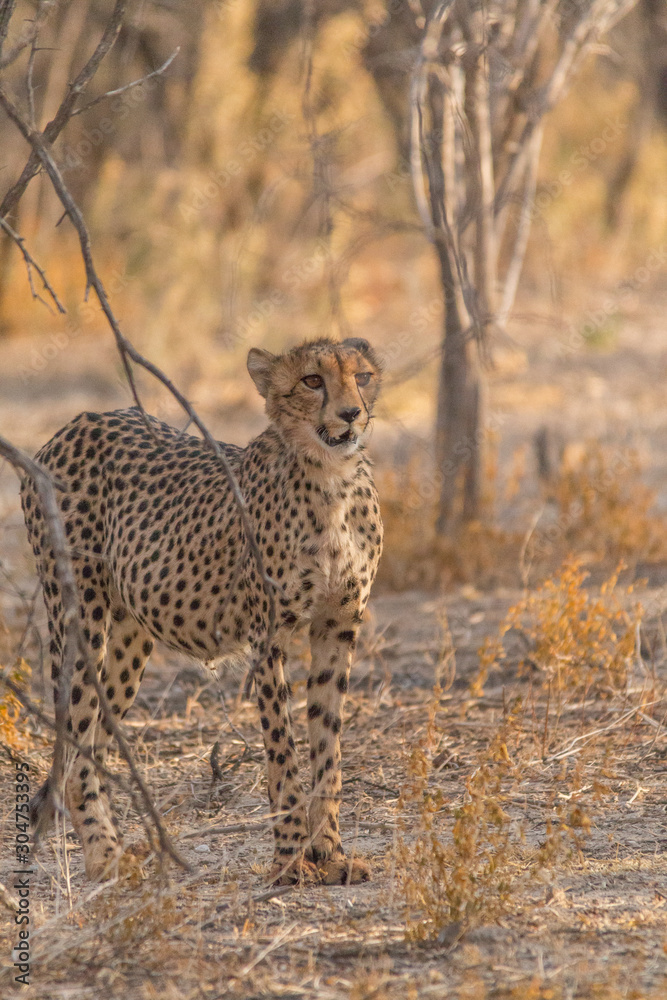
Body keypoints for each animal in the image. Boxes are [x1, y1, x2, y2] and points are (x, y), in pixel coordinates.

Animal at [21, 337, 383, 886]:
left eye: (361, 376)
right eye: (312, 381)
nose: (350, 414)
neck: (331, 478)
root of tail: (79, 421)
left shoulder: (337, 626)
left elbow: (328, 746)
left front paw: (332, 854)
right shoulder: (267, 637)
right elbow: (283, 751)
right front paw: (291, 859)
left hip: (130, 637)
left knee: (97, 741)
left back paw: (120, 849)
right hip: (81, 616)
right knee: (78, 742)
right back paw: (105, 858)